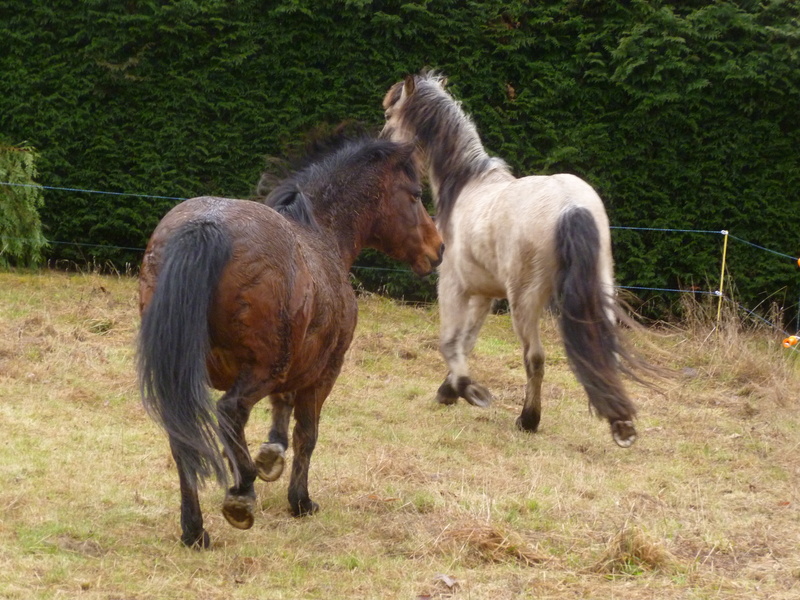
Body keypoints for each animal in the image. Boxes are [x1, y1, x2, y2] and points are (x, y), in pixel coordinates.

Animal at [141, 137, 446, 548]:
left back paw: (194, 529)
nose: (438, 248)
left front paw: (271, 456)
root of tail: (206, 225)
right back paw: (241, 492)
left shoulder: (295, 366)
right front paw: (299, 500)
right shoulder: (323, 373)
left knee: (184, 437)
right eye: (415, 195)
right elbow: (306, 435)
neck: (321, 235)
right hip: (264, 369)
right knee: (230, 412)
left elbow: (280, 414)